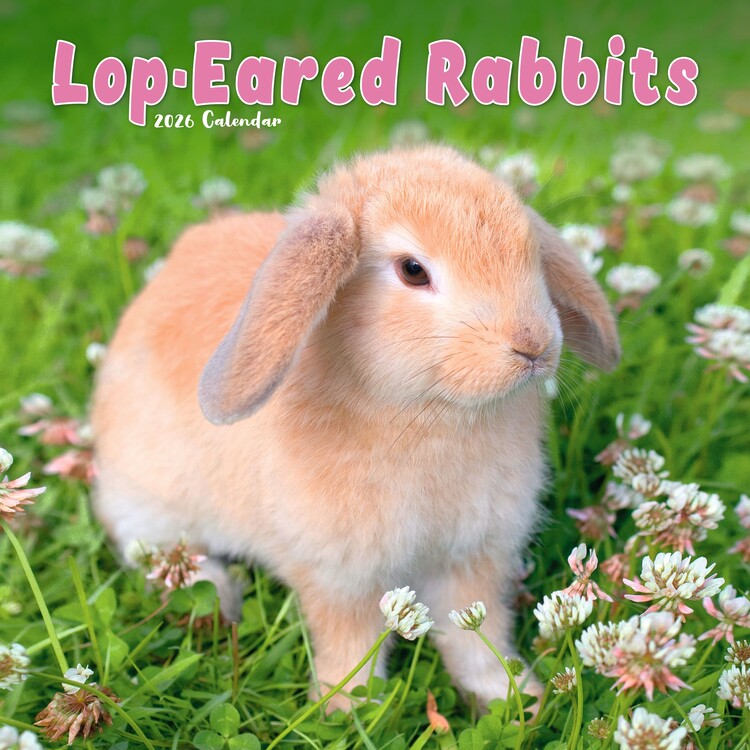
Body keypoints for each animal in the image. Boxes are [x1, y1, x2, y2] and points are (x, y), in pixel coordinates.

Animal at [91, 145, 619, 712]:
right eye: (413, 270)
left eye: (531, 253)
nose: (533, 344)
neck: (431, 413)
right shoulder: (341, 575)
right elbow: (351, 644)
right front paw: (342, 709)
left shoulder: (473, 559)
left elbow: (478, 636)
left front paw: (514, 699)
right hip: (150, 504)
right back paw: (217, 600)